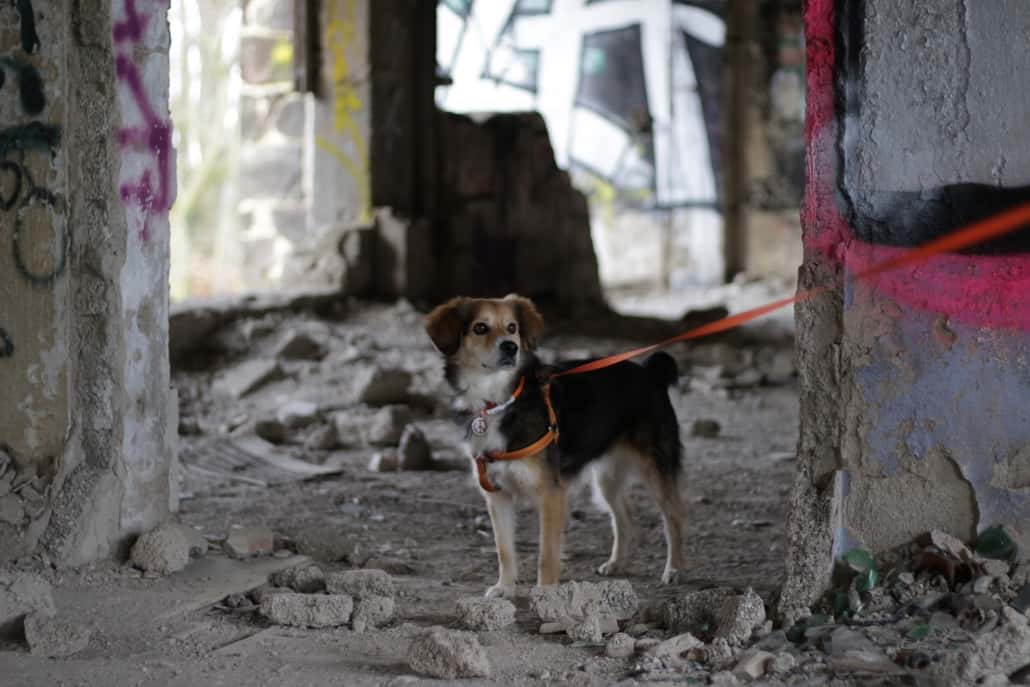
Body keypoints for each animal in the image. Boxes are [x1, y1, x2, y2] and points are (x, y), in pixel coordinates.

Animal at [422, 292, 688, 597]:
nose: (511, 347)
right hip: (607, 476)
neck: (497, 401)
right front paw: (504, 587)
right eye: (480, 327)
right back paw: (617, 563)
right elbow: (504, 549)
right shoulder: (497, 494)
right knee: (625, 516)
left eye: (512, 327)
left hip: (656, 466)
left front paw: (546, 594)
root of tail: (649, 372)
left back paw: (675, 569)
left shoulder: (550, 493)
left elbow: (546, 555)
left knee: (674, 517)